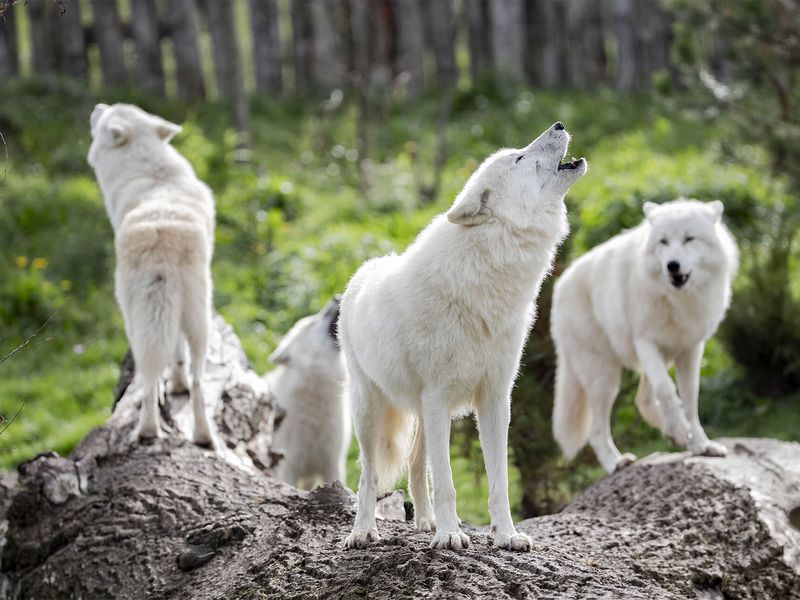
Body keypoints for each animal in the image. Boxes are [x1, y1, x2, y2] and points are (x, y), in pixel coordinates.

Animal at [88, 103, 216, 448]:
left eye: (110, 113)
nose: (98, 106)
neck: (152, 173)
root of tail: (162, 241)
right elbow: (178, 356)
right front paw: (177, 386)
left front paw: (173, 388)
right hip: (197, 319)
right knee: (198, 380)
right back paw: (203, 438)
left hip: (134, 322)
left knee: (147, 378)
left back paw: (146, 431)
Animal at [340, 123, 588, 552]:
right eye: (519, 158)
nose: (558, 125)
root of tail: (364, 271)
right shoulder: (440, 398)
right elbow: (448, 484)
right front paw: (451, 535)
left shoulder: (495, 400)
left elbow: (498, 482)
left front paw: (506, 536)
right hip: (372, 411)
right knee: (368, 475)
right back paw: (364, 531)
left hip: (423, 413)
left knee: (416, 464)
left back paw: (424, 523)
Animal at [552, 198, 740, 474]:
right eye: (663, 241)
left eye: (689, 239)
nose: (672, 265)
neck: (676, 300)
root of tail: (559, 285)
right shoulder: (645, 341)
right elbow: (667, 388)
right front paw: (682, 430)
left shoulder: (691, 348)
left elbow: (690, 398)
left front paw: (700, 443)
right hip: (604, 377)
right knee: (597, 430)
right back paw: (616, 462)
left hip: (651, 360)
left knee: (643, 401)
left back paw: (674, 433)